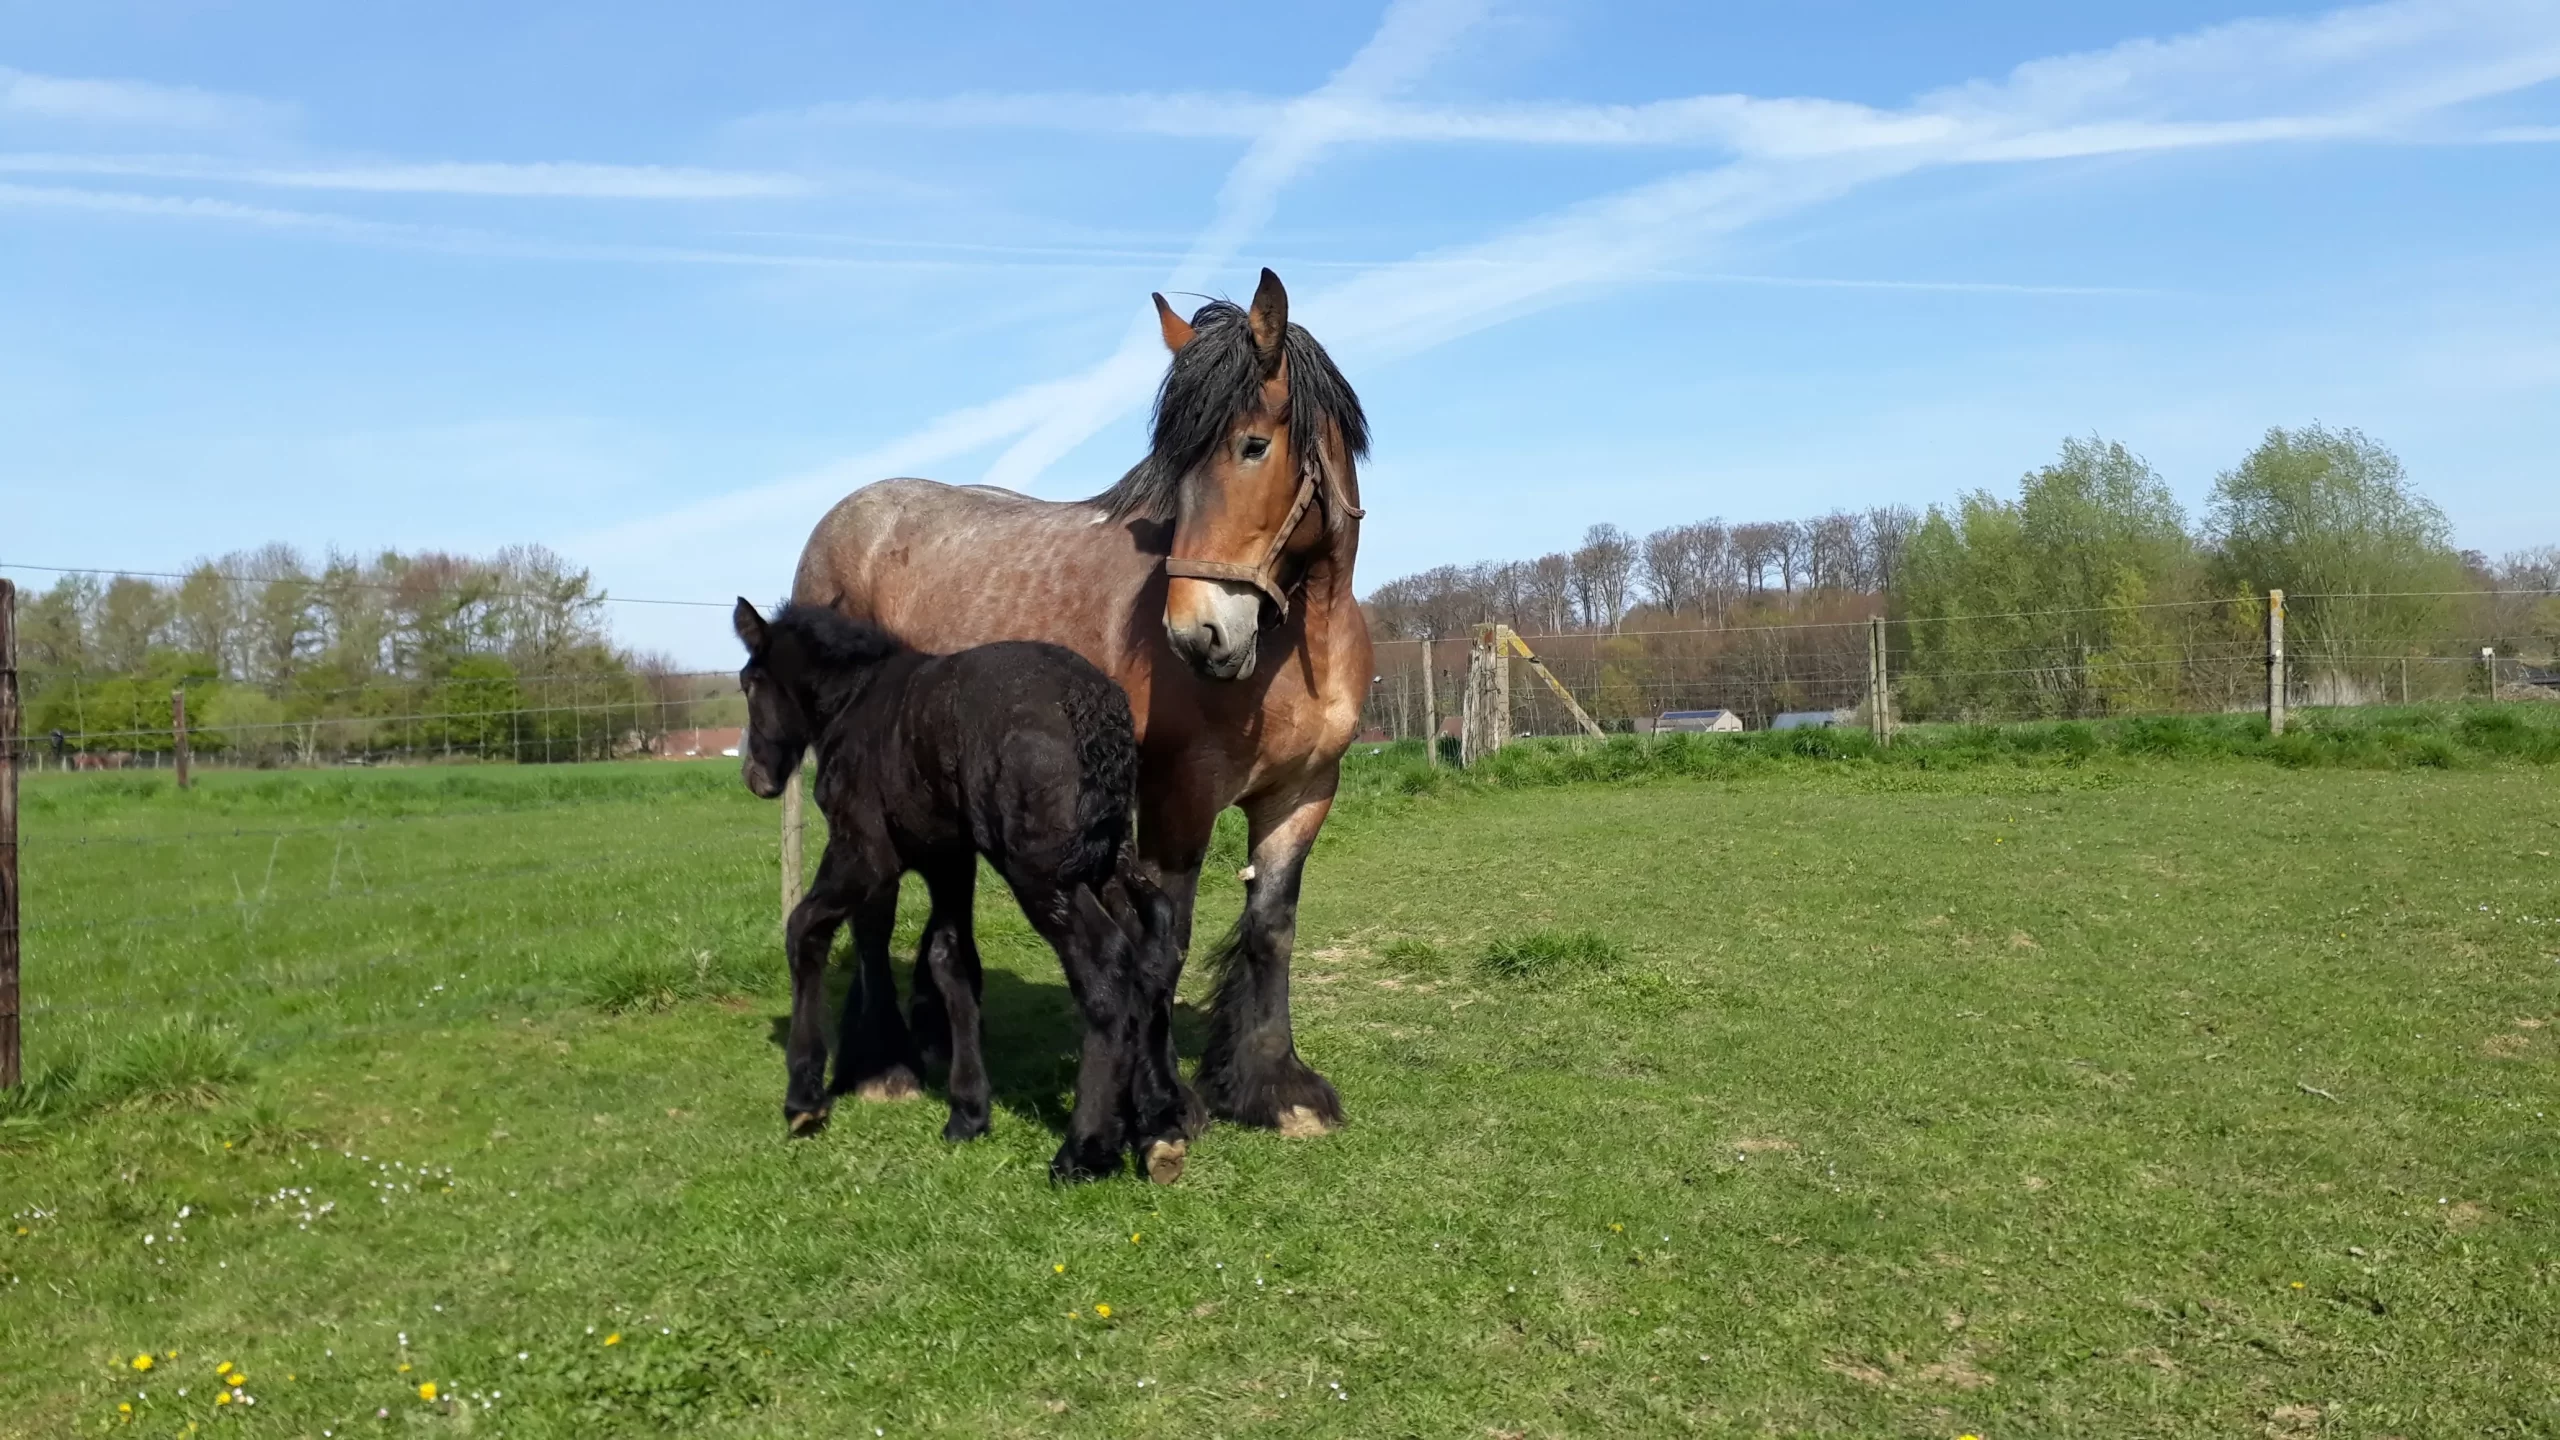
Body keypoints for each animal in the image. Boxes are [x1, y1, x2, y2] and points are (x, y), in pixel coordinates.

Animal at [732, 594, 1187, 1178]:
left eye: (748, 683)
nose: (757, 777)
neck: (852, 704)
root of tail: (1100, 713)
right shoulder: (949, 859)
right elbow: (953, 963)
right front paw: (968, 1112)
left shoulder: (864, 854)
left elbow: (803, 927)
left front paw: (804, 1099)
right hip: (1104, 860)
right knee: (1152, 943)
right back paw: (1158, 1122)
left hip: (1043, 876)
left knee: (1107, 966)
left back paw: (1084, 1147)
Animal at [788, 269, 1372, 1132]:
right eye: (1172, 469)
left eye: (1253, 446)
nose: (1196, 634)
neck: (1299, 648)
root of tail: (838, 525)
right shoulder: (1177, 798)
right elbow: (1169, 938)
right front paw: (1164, 1105)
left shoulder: (1303, 795)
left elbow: (1271, 931)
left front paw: (1276, 1088)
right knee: (873, 908)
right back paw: (886, 1063)